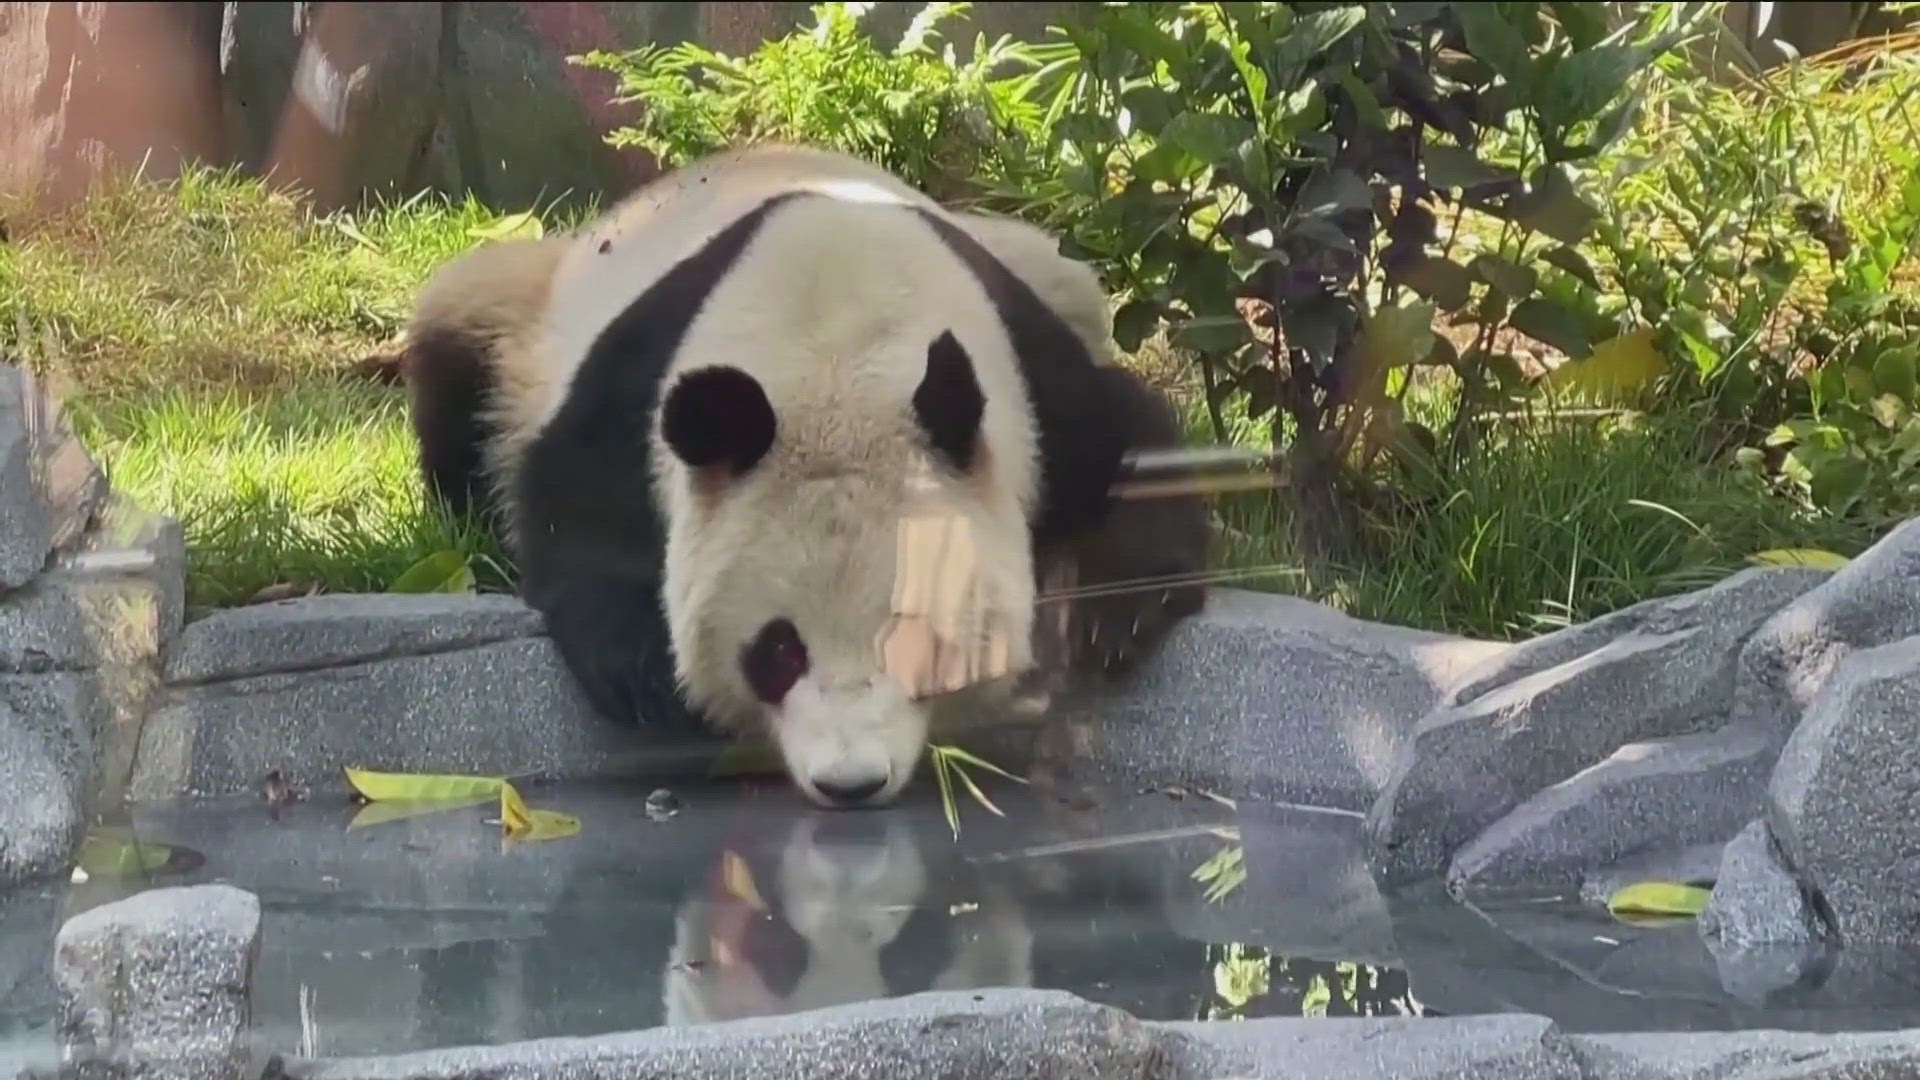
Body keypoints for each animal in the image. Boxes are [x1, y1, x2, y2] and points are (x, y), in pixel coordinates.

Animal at [403, 143, 1205, 803]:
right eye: (777, 652)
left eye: (919, 641)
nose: (850, 783)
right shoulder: (640, 375)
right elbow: (578, 494)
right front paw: (643, 674)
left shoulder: (1028, 375)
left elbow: (1128, 437)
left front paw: (1118, 616)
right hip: (525, 316)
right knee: (458, 347)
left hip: (1048, 267)